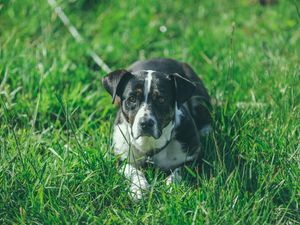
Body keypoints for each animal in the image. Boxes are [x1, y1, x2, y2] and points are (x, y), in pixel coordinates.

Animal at [102, 57, 212, 199]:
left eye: (161, 99)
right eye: (132, 98)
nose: (145, 123)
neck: (149, 144)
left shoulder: (194, 158)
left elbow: (180, 170)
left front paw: (171, 185)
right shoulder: (121, 158)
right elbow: (133, 171)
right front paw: (139, 188)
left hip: (198, 96)